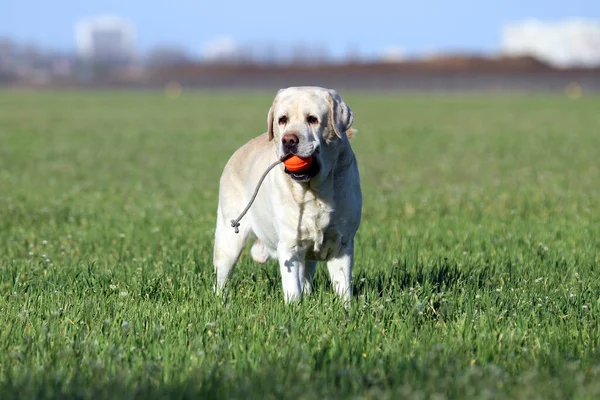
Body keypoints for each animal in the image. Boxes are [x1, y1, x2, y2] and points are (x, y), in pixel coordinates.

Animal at [212, 85, 360, 304]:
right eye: (282, 119)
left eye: (312, 119)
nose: (289, 140)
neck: (314, 191)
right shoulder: (290, 246)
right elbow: (293, 289)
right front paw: (294, 308)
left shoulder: (342, 245)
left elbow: (344, 289)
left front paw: (346, 309)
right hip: (228, 240)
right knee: (221, 279)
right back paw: (221, 301)